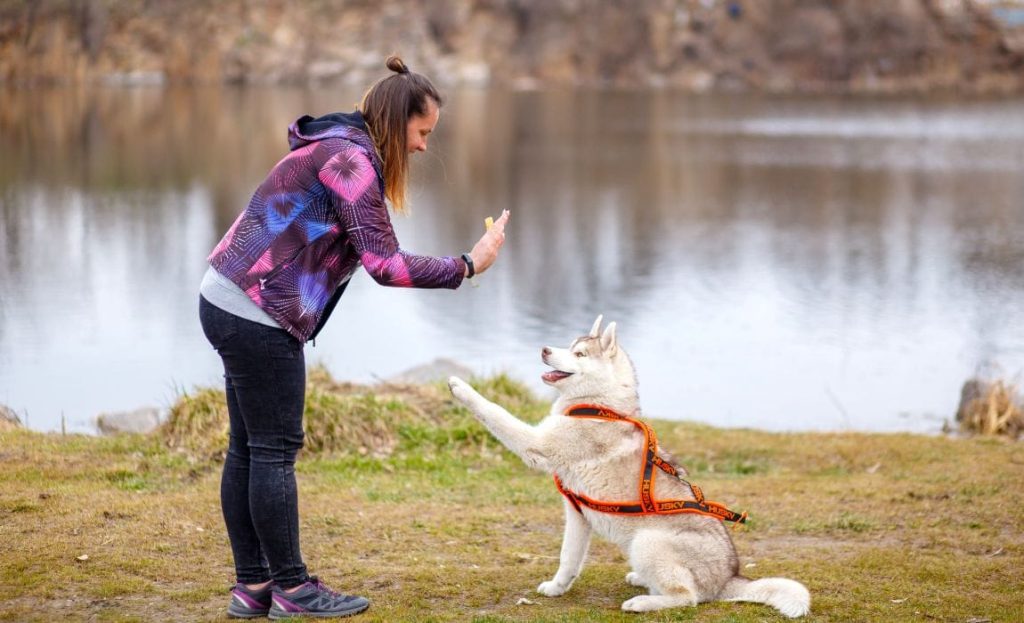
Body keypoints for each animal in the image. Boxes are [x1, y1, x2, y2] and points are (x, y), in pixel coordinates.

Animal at [446, 319, 806, 614]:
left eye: (579, 354)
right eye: (569, 345)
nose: (545, 349)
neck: (599, 406)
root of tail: (729, 579)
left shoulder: (536, 444)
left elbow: (495, 411)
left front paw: (462, 388)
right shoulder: (577, 513)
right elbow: (568, 558)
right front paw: (557, 588)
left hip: (647, 541)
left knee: (687, 597)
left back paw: (643, 602)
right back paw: (642, 580)